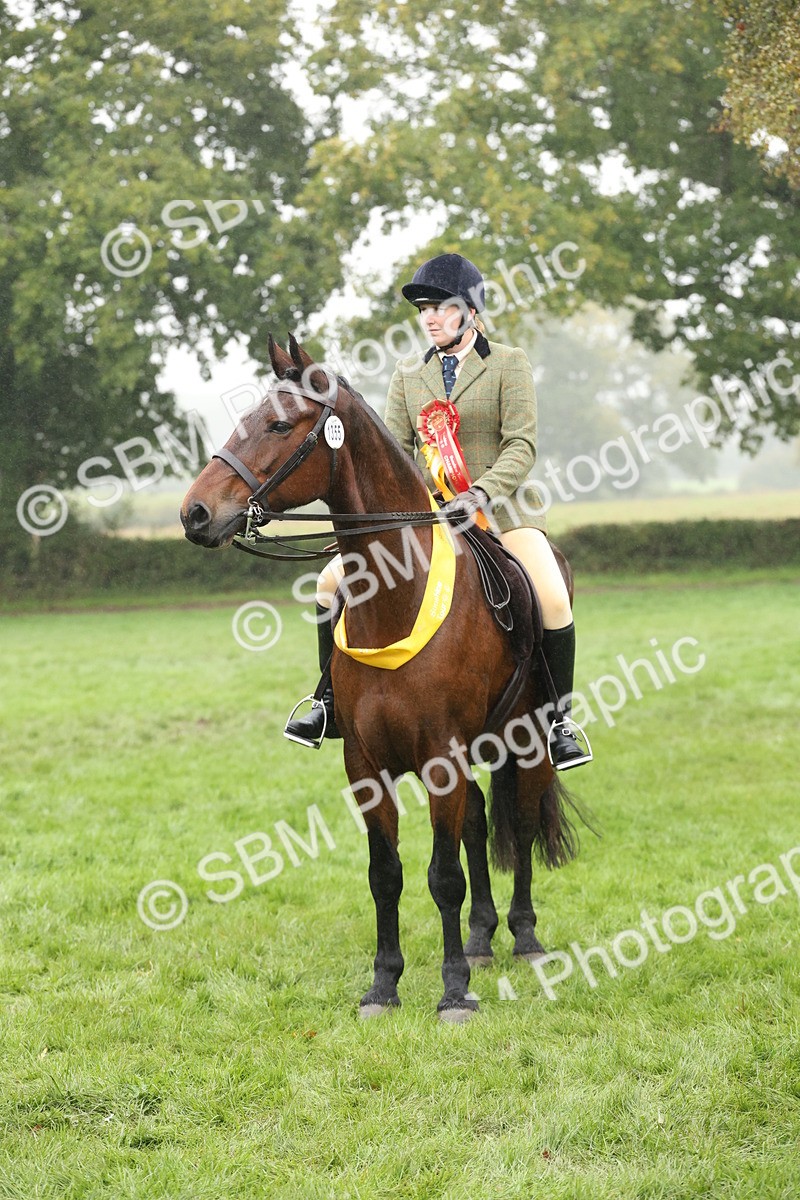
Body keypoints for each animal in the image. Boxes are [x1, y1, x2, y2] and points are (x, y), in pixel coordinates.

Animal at [181, 335, 582, 1022]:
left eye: (280, 425)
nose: (195, 513)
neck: (397, 595)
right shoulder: (367, 765)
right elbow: (385, 874)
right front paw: (384, 985)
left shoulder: (442, 758)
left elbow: (443, 875)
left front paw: (453, 993)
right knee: (478, 822)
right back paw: (480, 939)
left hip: (528, 739)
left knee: (524, 823)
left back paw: (525, 938)